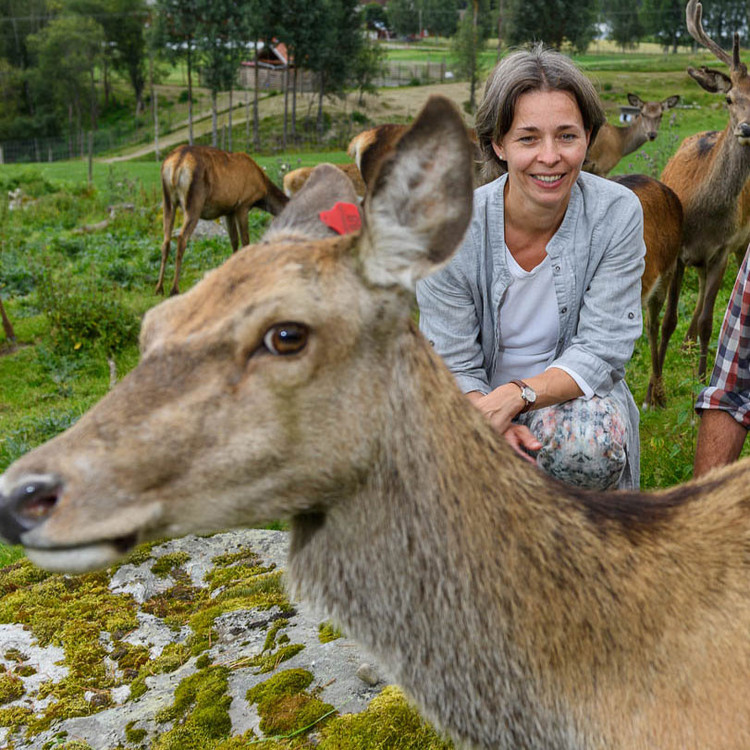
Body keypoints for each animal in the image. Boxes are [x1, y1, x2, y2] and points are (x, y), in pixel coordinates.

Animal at [157, 145, 290, 298]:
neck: (262, 193)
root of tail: (177, 162)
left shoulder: (229, 211)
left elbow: (234, 241)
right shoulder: (243, 205)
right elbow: (245, 241)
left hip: (168, 200)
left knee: (166, 241)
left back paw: (159, 287)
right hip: (195, 201)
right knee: (181, 238)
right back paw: (174, 289)